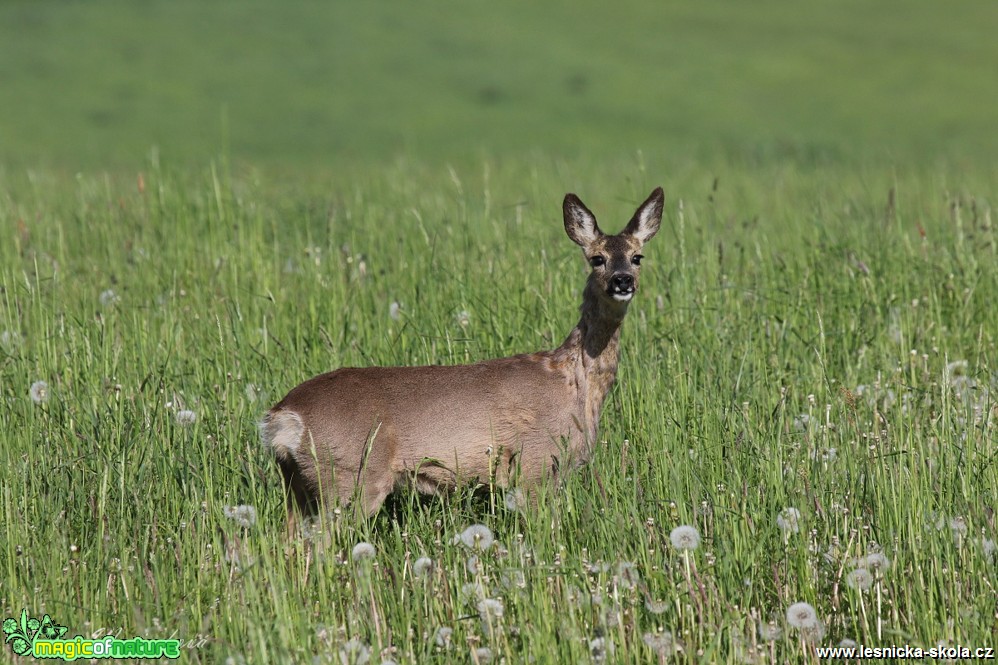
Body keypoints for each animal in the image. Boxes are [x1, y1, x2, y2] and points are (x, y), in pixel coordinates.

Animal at [262, 185, 664, 524]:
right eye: (596, 258)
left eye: (637, 256)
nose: (622, 281)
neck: (575, 383)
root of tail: (281, 417)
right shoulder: (533, 464)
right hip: (349, 476)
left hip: (298, 486)